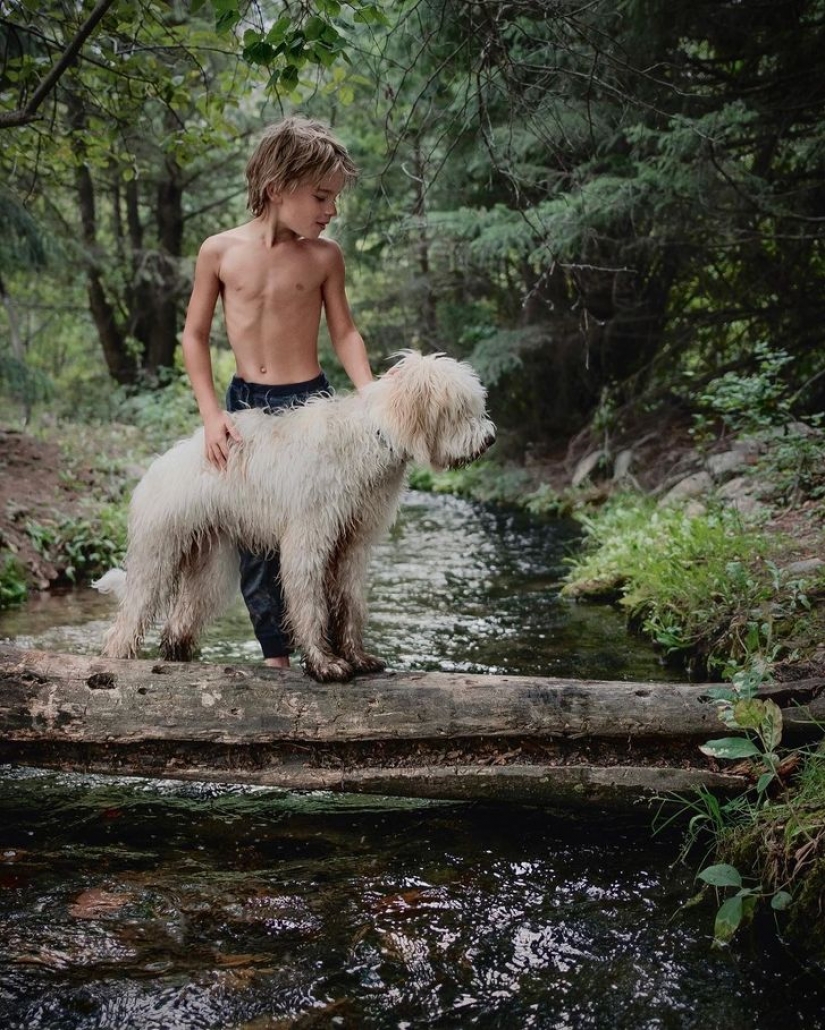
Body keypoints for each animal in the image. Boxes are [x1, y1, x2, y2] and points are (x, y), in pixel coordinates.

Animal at [96, 350, 496, 679]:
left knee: (178, 624)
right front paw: (324, 664)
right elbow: (310, 604)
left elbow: (350, 601)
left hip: (212, 562)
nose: (489, 439)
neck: (373, 436)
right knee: (125, 626)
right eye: (462, 409)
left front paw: (357, 656)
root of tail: (159, 464)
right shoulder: (309, 537)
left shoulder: (354, 542)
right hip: (157, 555)